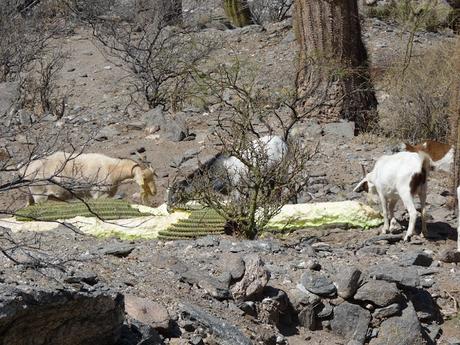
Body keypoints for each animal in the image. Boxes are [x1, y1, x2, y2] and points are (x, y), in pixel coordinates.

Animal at [20, 150, 156, 204]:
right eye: (145, 178)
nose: (154, 192)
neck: (112, 168)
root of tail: (24, 169)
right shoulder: (99, 194)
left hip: (31, 194)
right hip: (39, 194)